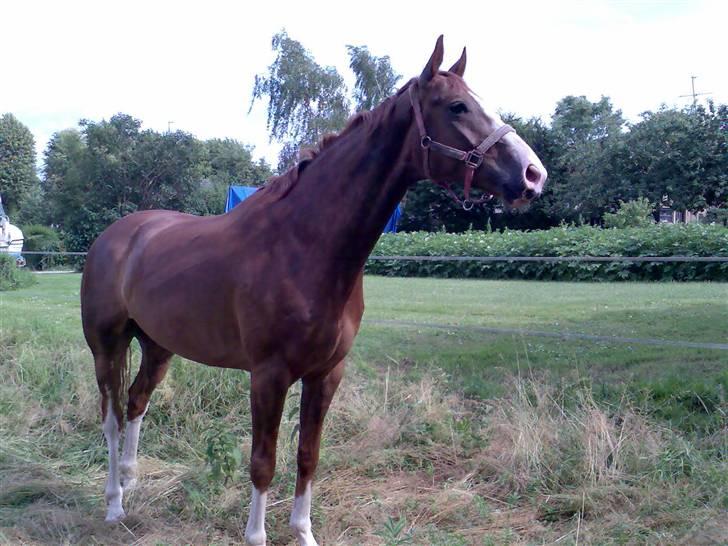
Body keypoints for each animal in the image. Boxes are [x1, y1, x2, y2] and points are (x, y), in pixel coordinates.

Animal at [81, 36, 544, 540]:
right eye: (457, 106)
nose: (533, 174)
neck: (303, 244)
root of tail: (118, 235)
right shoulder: (269, 375)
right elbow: (263, 463)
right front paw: (257, 537)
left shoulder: (326, 374)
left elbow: (308, 455)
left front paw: (304, 532)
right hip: (107, 346)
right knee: (111, 418)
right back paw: (113, 503)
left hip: (158, 346)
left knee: (136, 402)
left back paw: (131, 480)